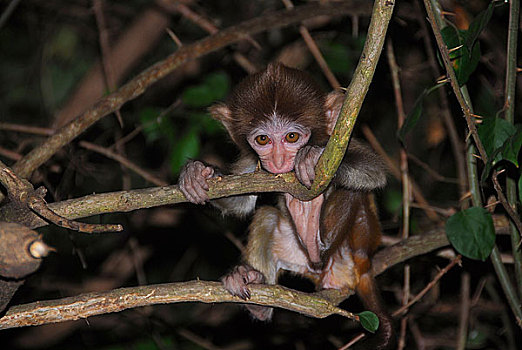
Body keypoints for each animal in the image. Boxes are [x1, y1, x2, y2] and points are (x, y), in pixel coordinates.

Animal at [181, 63, 392, 350]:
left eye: (292, 137)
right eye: (263, 140)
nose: (280, 161)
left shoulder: (338, 141)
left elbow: (376, 173)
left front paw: (311, 156)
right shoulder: (254, 162)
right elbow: (241, 203)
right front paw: (197, 174)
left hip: (356, 249)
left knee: (353, 192)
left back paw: (314, 240)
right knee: (267, 216)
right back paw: (255, 286)